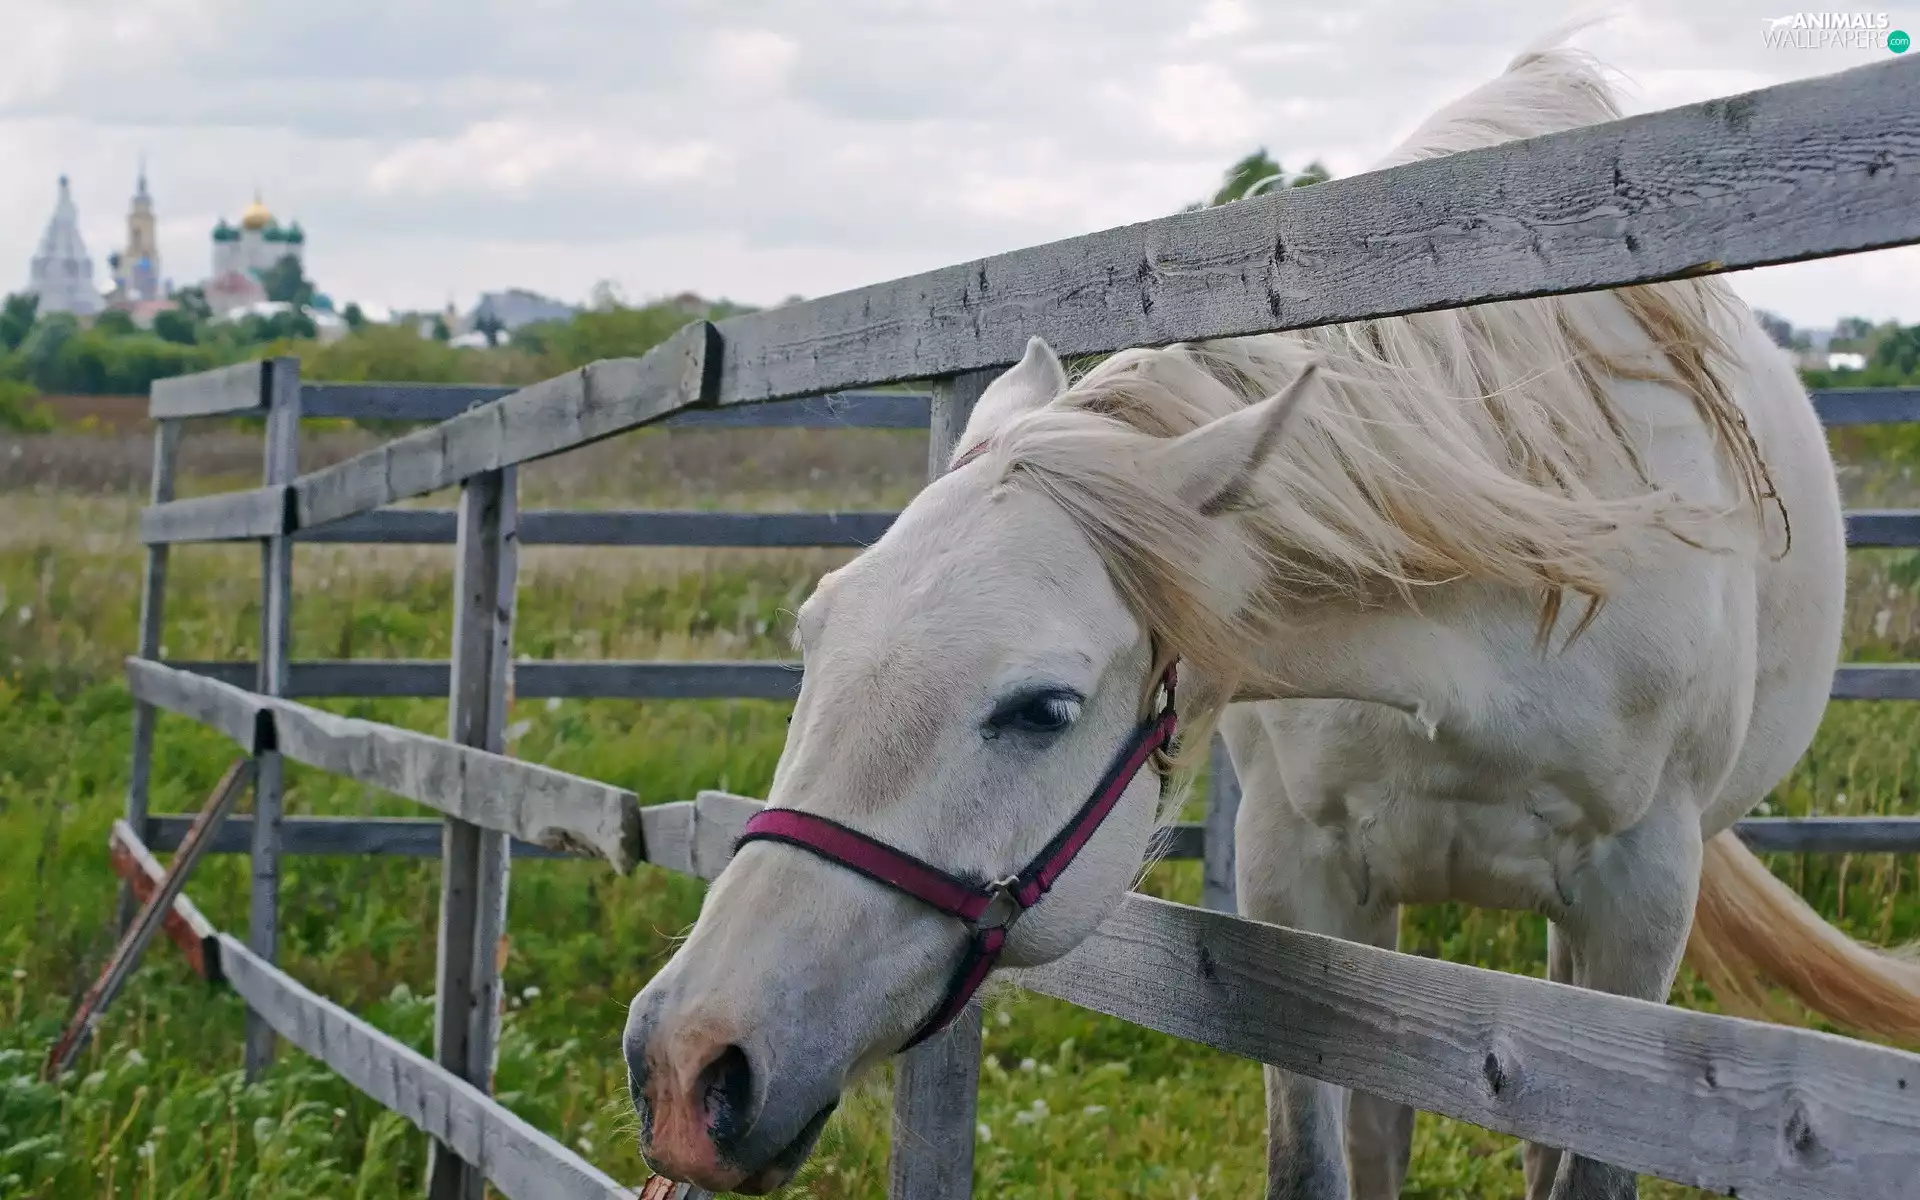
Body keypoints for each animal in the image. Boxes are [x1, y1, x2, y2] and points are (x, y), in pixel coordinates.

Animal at [622, 39, 1920, 1200]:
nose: (687, 1066)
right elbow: (1319, 1158)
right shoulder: (1300, 876)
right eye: (814, 643)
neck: (1501, 631)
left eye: (1040, 708)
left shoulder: (1637, 917)